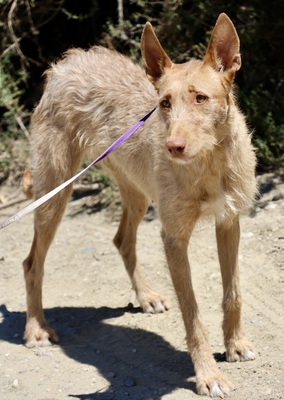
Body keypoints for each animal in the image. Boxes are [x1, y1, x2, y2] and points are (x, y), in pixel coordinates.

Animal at [22, 13, 258, 396]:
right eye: (164, 103)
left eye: (201, 98)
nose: (172, 147)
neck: (209, 162)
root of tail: (70, 60)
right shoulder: (174, 239)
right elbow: (193, 315)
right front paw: (208, 375)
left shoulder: (229, 222)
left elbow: (233, 292)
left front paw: (236, 345)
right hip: (54, 192)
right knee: (31, 263)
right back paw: (35, 329)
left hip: (136, 191)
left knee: (122, 239)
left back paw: (146, 295)